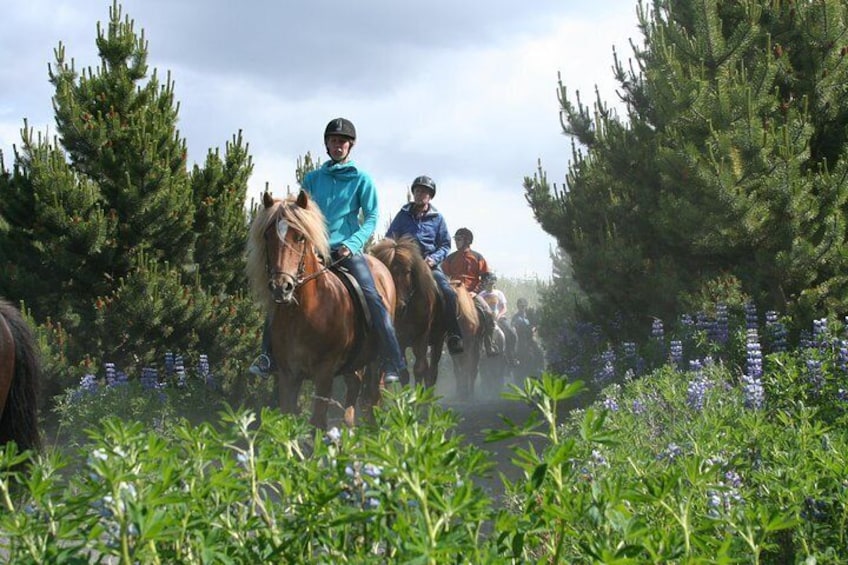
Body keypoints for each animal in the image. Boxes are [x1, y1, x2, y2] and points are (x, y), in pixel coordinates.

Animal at [242, 189, 394, 428]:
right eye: (267, 236)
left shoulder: (324, 374)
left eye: (300, 236)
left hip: (376, 362)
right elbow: (287, 419)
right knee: (354, 387)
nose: (281, 287)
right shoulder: (288, 375)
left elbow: (317, 422)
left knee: (374, 399)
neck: (306, 314)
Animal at [372, 235, 450, 388]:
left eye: (407, 271)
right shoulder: (399, 339)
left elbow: (419, 369)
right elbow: (404, 373)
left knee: (432, 372)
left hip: (438, 341)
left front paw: (418, 395)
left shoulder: (421, 337)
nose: (398, 308)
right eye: (386, 272)